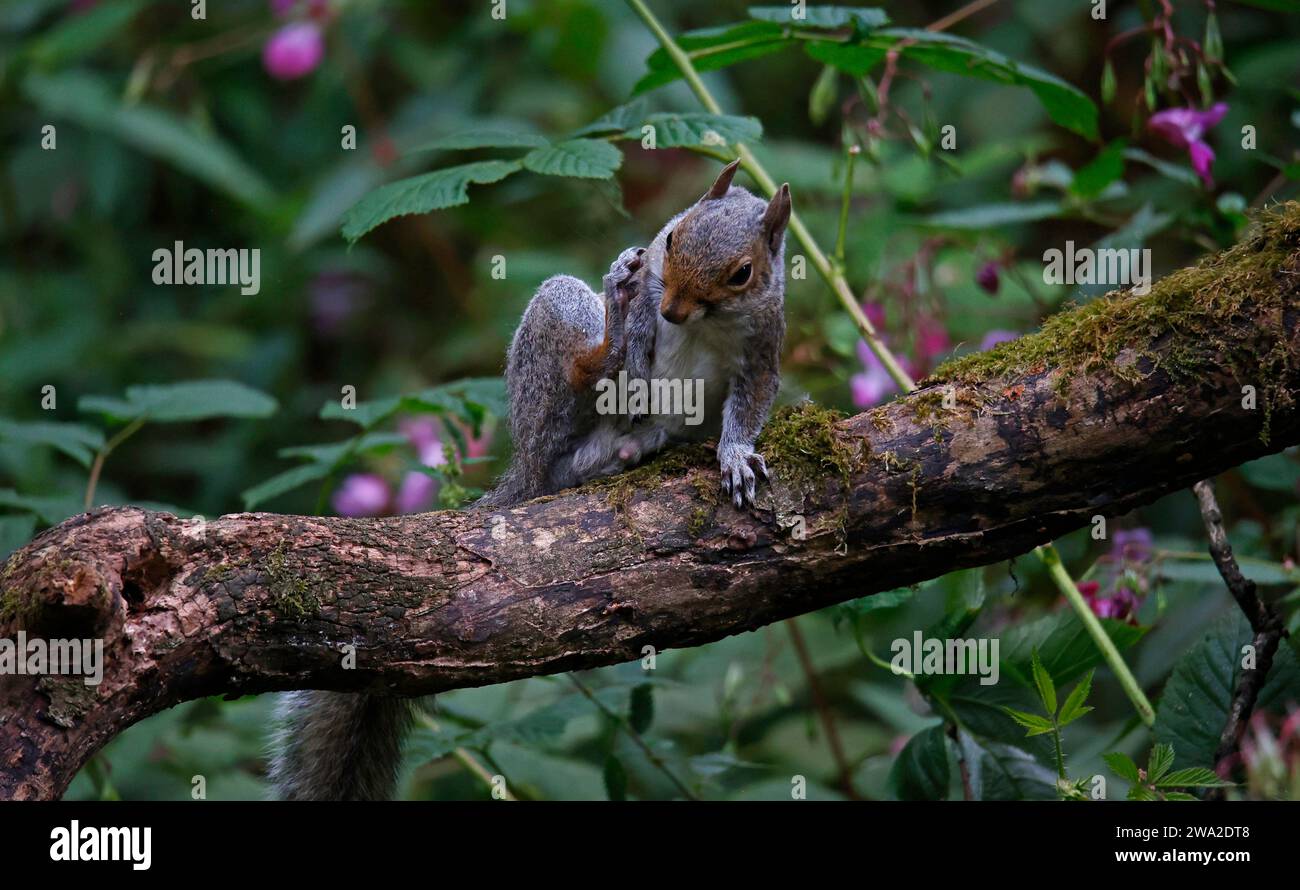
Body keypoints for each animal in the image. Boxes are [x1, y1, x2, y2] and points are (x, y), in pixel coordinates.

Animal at [269, 157, 785, 800]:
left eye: (743, 273)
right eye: (671, 237)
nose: (670, 307)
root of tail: (528, 465)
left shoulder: (762, 348)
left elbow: (751, 404)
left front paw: (736, 455)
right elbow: (641, 354)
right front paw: (634, 307)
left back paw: (637, 447)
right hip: (554, 363)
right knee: (584, 384)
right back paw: (613, 331)